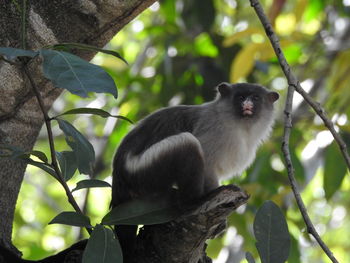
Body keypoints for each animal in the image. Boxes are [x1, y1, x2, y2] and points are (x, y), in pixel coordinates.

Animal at [110, 83, 280, 262]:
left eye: (255, 98)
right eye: (240, 97)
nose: (247, 104)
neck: (240, 127)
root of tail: (119, 177)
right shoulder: (214, 130)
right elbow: (207, 160)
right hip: (143, 172)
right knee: (188, 142)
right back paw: (196, 202)